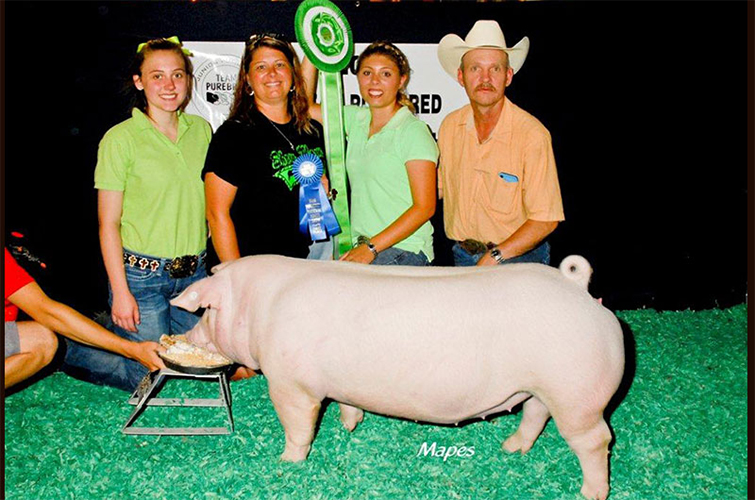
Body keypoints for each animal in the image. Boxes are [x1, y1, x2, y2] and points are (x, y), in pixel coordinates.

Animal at [171, 254, 624, 500]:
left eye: (206, 311)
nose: (185, 336)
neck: (261, 306)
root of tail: (577, 287)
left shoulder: (290, 383)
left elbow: (297, 423)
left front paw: (288, 461)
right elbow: (347, 404)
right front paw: (350, 427)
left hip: (577, 392)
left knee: (595, 440)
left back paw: (591, 493)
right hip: (543, 387)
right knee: (535, 415)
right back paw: (510, 448)